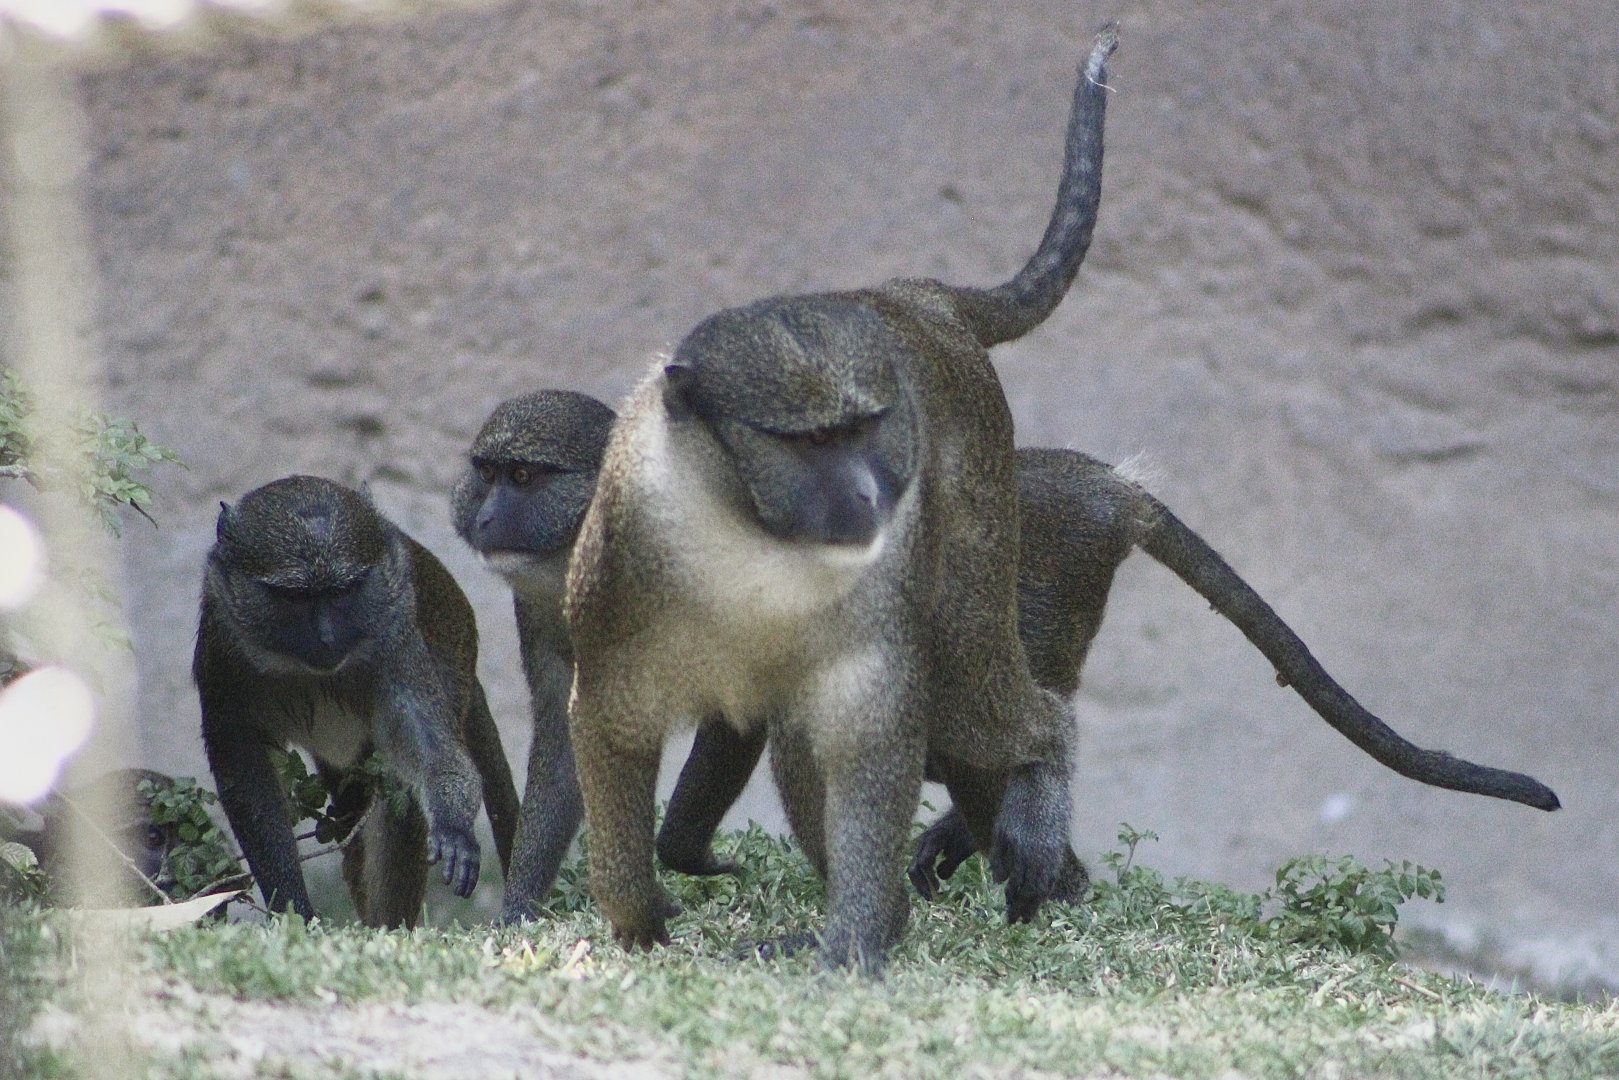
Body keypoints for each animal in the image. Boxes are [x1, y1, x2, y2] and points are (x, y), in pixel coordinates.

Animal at [194, 475, 520, 927]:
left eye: (344, 591)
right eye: (295, 598)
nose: (327, 638)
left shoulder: (396, 636)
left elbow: (425, 741)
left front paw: (454, 828)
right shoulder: (222, 653)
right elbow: (247, 779)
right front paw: (293, 907)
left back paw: (389, 925)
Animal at [451, 390, 763, 922]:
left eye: (523, 476)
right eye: (488, 473)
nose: (486, 519)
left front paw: (682, 858)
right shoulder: (539, 611)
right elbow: (564, 738)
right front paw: (518, 910)